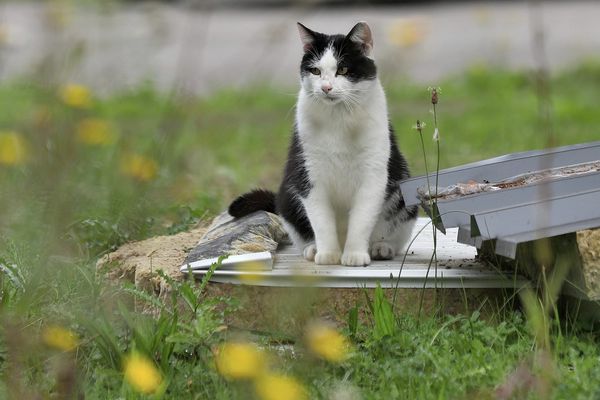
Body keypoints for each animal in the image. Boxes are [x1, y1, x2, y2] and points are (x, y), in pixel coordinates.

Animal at [229, 21, 418, 266]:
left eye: (343, 70)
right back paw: (312, 248)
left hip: (403, 191)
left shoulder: (373, 176)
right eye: (315, 71)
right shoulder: (308, 176)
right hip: (287, 195)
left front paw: (355, 254)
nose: (326, 87)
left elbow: (361, 219)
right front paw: (328, 254)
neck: (338, 118)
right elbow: (321, 221)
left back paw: (381, 247)